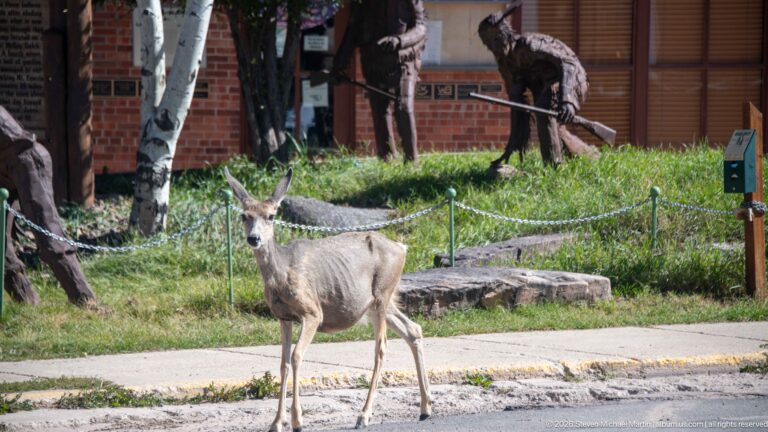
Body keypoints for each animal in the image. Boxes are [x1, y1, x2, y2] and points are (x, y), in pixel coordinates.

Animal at [224, 167, 432, 432]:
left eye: (271, 216)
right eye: (244, 215)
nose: (254, 238)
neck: (281, 273)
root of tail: (402, 248)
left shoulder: (312, 312)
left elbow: (296, 356)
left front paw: (297, 420)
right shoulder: (283, 317)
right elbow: (283, 363)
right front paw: (276, 422)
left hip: (382, 295)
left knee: (381, 347)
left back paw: (364, 415)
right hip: (378, 304)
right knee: (413, 329)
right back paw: (425, 407)